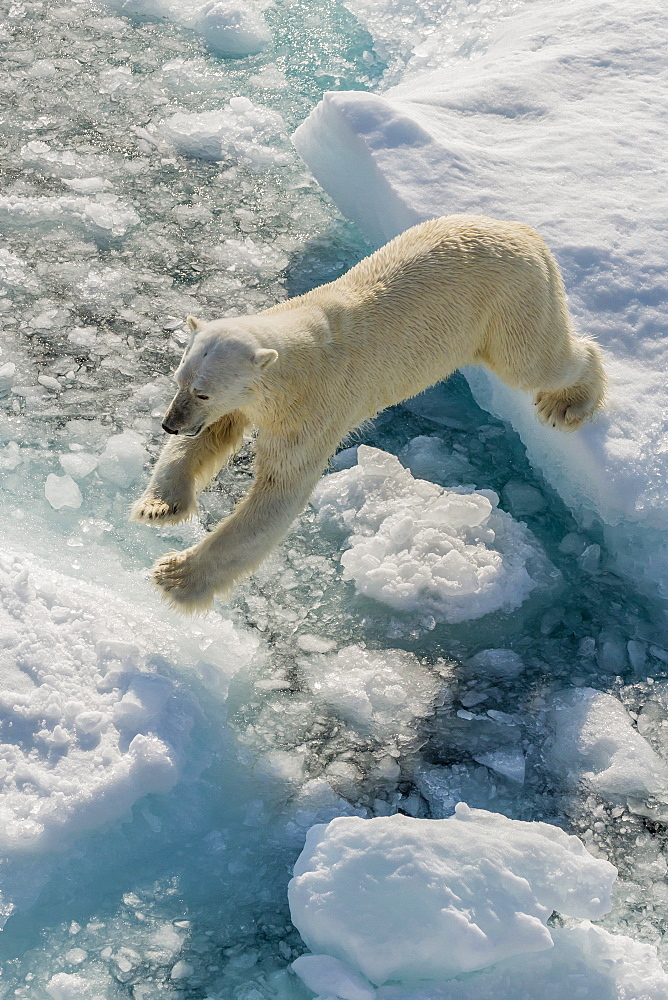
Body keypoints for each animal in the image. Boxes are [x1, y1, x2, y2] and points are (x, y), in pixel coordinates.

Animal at [130, 215, 604, 612]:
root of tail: (522, 230)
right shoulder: (251, 400)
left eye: (203, 392)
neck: (294, 357)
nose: (170, 423)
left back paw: (567, 401)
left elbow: (280, 489)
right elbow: (213, 437)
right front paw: (158, 506)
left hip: (507, 301)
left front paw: (175, 575)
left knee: (534, 361)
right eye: (179, 380)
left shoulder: (313, 406)